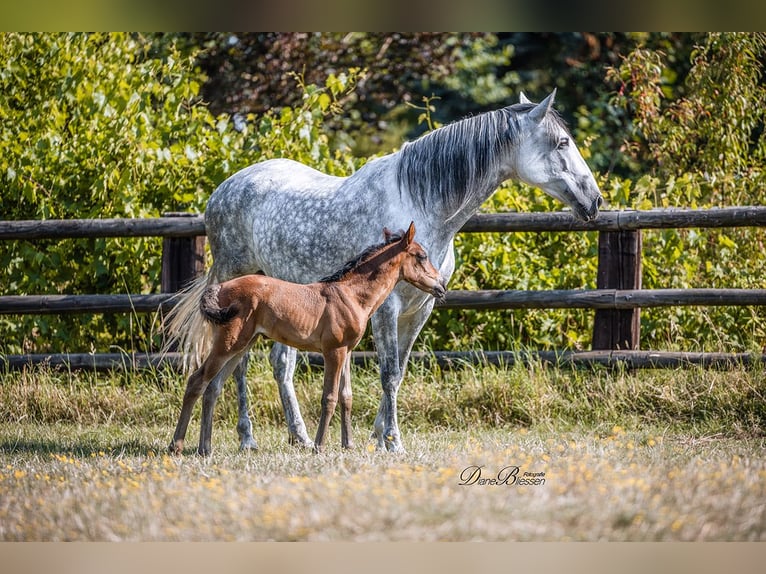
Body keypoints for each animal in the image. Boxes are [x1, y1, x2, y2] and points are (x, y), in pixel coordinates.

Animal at [168, 223, 444, 456]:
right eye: (421, 256)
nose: (441, 286)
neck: (350, 295)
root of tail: (219, 288)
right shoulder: (333, 351)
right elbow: (329, 397)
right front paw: (319, 446)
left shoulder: (346, 352)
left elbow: (346, 396)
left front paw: (348, 445)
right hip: (228, 344)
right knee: (197, 381)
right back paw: (176, 445)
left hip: (240, 346)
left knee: (212, 387)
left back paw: (205, 448)